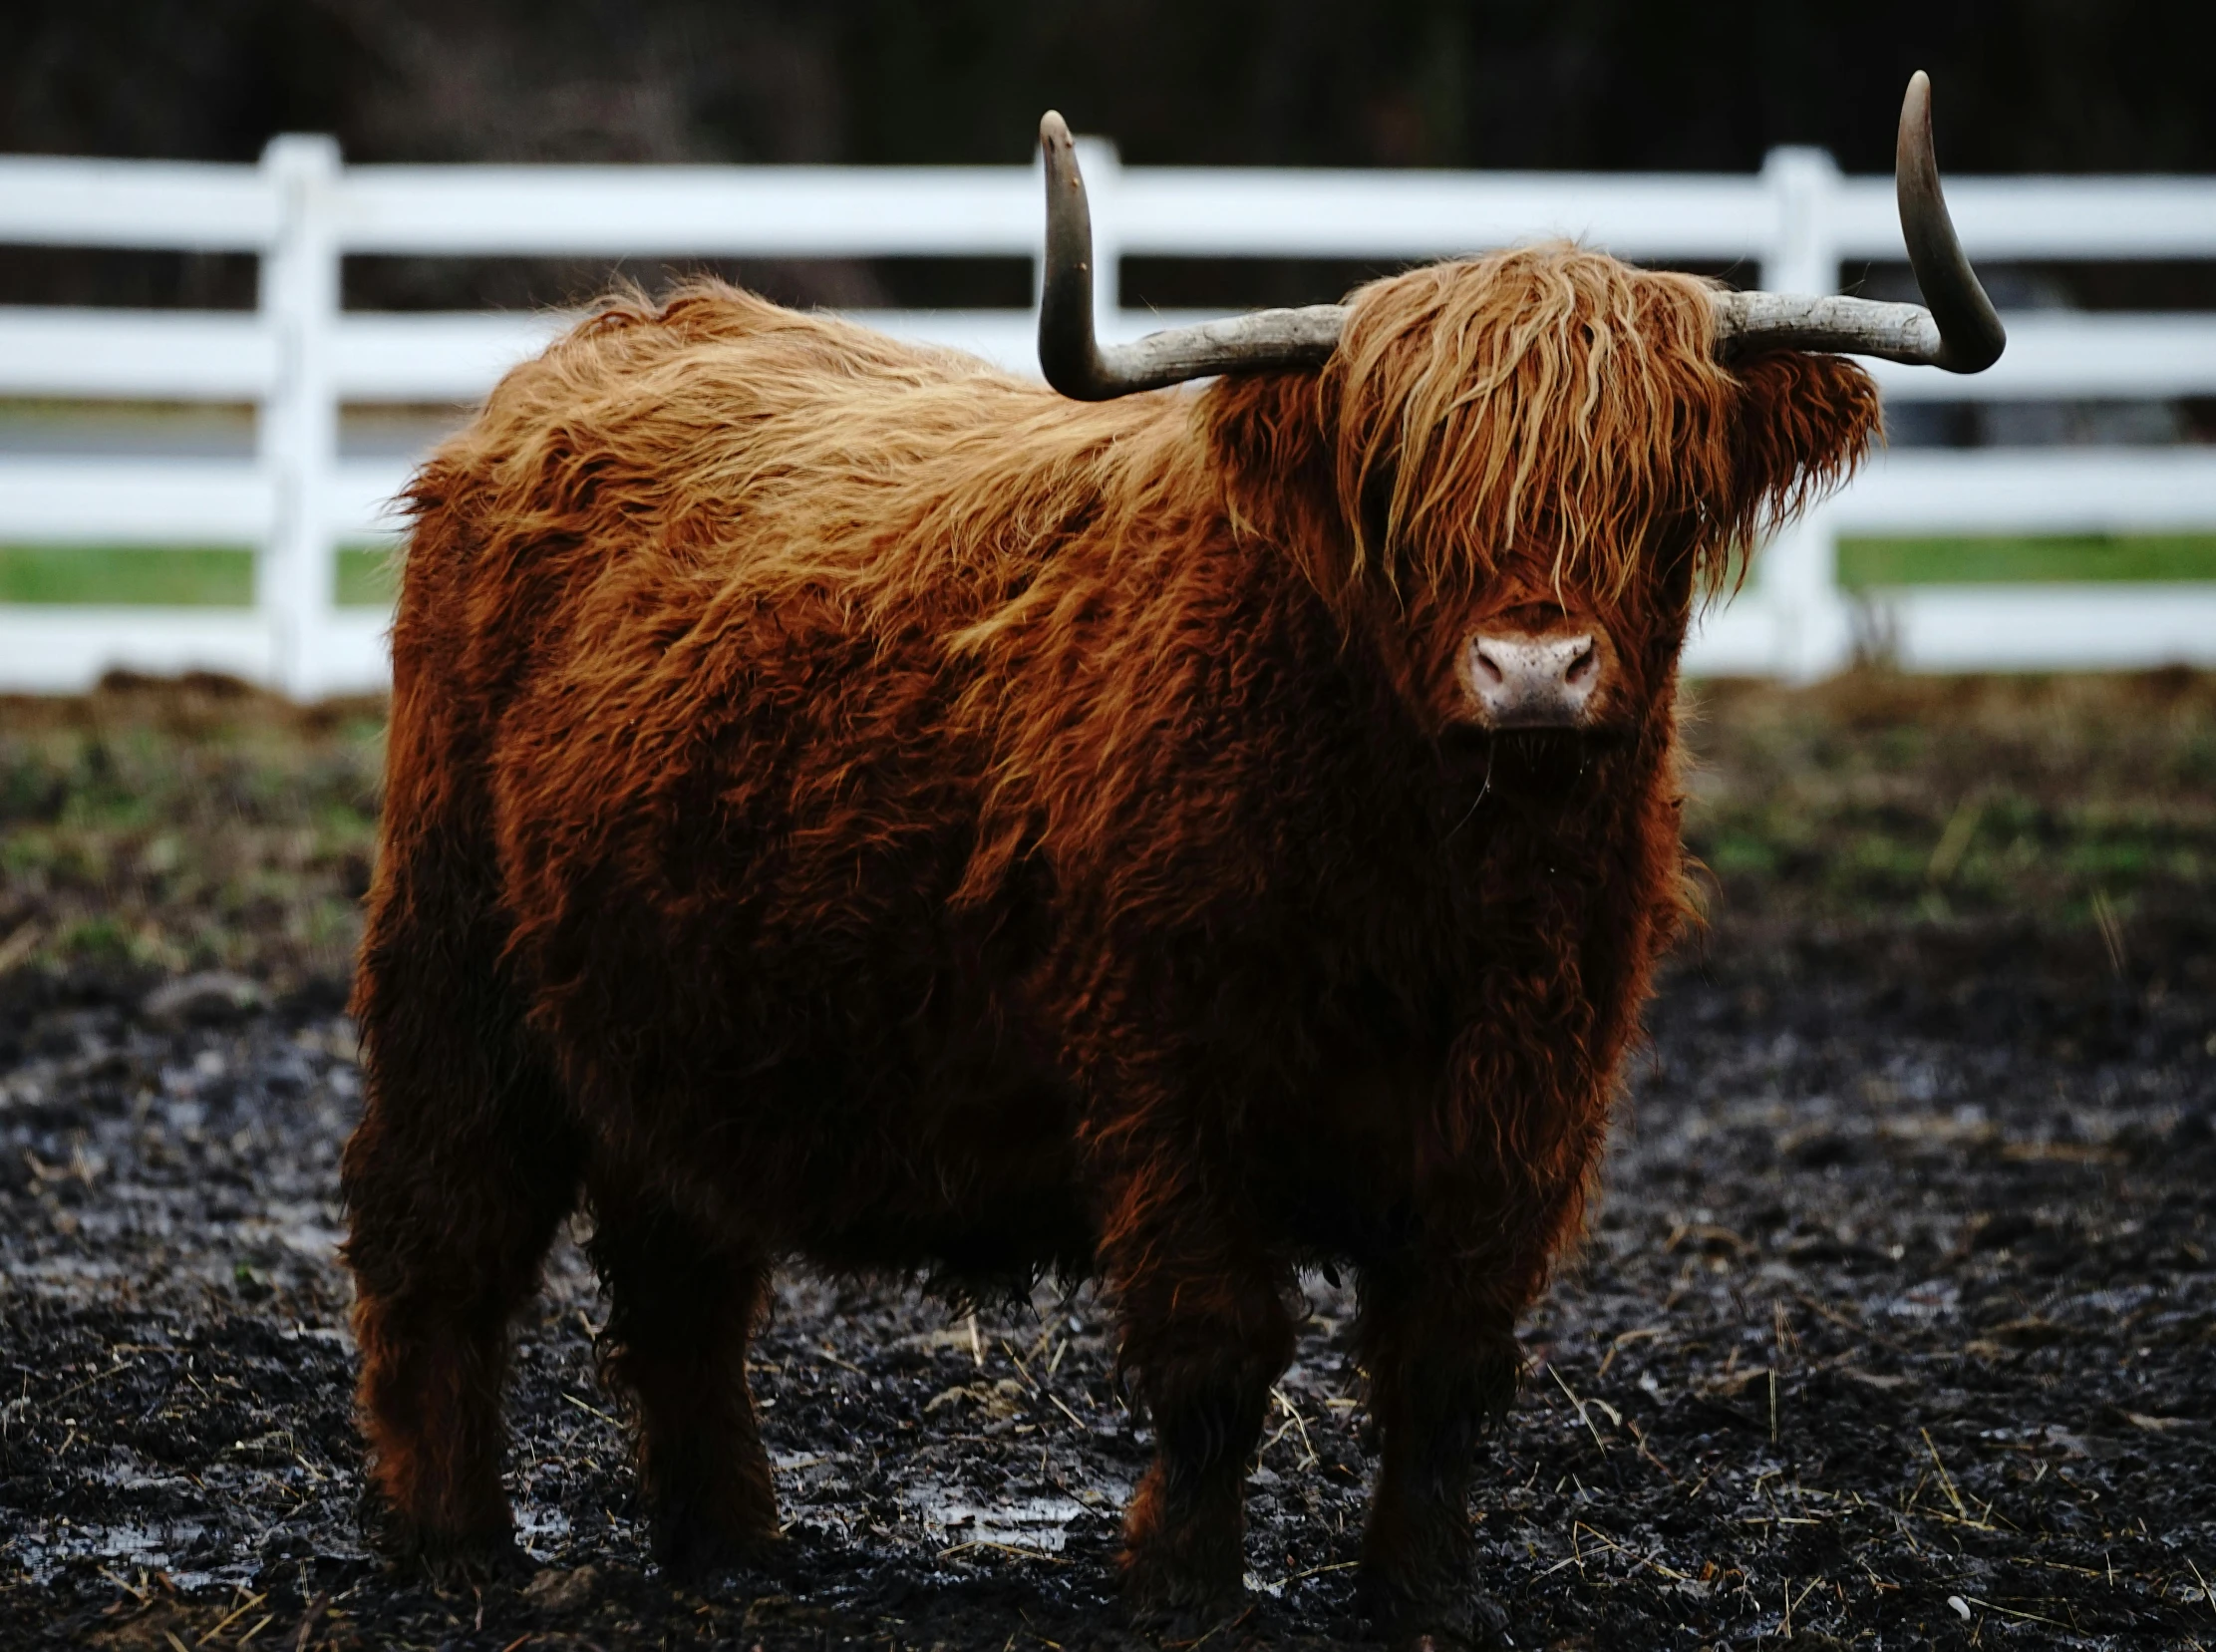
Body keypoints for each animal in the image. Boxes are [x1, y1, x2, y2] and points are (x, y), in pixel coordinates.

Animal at [341, 74, 2012, 1640]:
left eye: (1650, 483)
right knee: (438, 1230)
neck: (1434, 887)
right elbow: (1219, 1343)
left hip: (671, 1002)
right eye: (1398, 483)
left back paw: (732, 1542)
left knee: (680, 1267)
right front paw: (1183, 1584)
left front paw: (1424, 1593)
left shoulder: (1528, 1100)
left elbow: (1448, 1360)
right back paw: (455, 1543)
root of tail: (598, 344)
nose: (1530, 670)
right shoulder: (1170, 1075)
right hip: (454, 957)